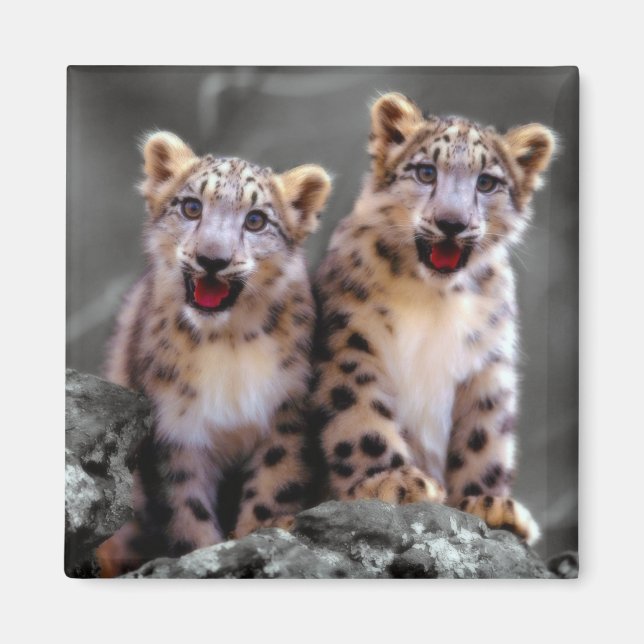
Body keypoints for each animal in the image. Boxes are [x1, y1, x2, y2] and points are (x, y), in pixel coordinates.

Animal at [95, 131, 331, 576]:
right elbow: (186, 511)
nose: (212, 259)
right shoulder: (174, 431)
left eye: (256, 219)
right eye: (191, 207)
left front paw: (255, 539)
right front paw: (205, 555)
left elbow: (272, 490)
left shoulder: (286, 415)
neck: (227, 342)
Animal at [310, 92, 556, 544]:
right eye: (426, 172)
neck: (434, 298)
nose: (451, 222)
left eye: (486, 182)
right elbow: (360, 412)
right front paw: (391, 481)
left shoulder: (488, 362)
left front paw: (489, 503)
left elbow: (484, 434)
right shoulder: (350, 340)